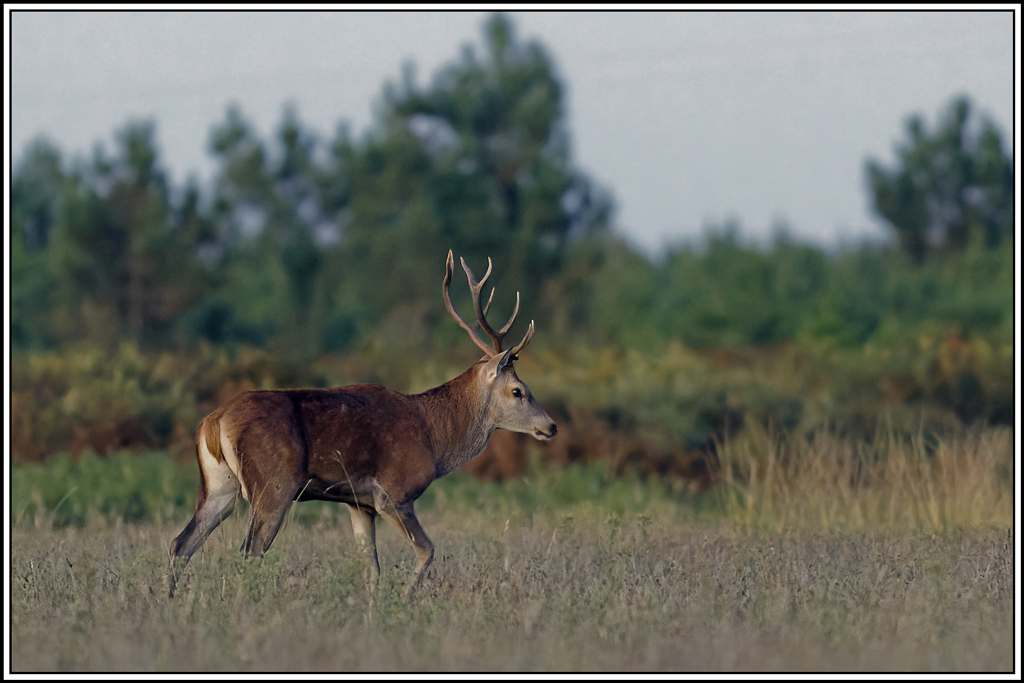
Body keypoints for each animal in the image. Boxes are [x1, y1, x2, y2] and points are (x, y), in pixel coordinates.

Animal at [166, 250, 557, 600]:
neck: (433, 436)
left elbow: (371, 569)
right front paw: (402, 603)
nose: (551, 426)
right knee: (248, 553)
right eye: (519, 391)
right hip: (272, 486)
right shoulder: (393, 493)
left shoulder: (359, 503)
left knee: (180, 544)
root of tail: (213, 421)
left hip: (220, 486)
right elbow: (426, 551)